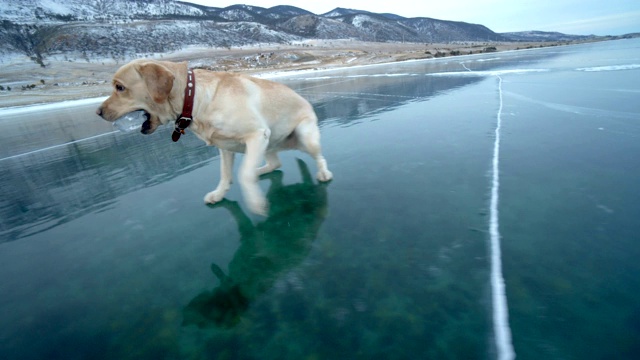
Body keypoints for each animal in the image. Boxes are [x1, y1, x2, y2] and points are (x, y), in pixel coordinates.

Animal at [99, 59, 336, 215]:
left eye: (120, 87)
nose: (99, 112)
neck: (193, 97)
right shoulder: (226, 147)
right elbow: (225, 175)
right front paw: (219, 194)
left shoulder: (257, 135)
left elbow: (243, 174)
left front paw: (255, 202)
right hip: (270, 143)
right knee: (275, 163)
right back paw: (260, 170)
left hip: (304, 137)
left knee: (319, 157)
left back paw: (324, 173)